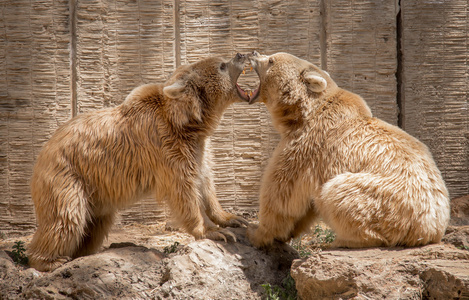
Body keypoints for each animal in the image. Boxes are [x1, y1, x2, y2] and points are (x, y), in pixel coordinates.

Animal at [26, 54, 252, 272]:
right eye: (222, 65)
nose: (241, 54)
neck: (187, 123)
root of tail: (42, 152)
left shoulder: (198, 149)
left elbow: (205, 184)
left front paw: (232, 218)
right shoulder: (167, 149)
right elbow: (184, 191)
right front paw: (212, 232)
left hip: (96, 193)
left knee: (95, 225)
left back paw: (82, 253)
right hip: (67, 177)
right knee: (66, 218)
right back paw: (50, 261)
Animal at [245, 51, 450, 248]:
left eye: (271, 60)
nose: (253, 53)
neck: (305, 112)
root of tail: (429, 229)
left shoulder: (306, 144)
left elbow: (281, 192)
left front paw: (257, 235)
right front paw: (287, 233)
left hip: (385, 199)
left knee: (338, 193)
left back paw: (341, 241)